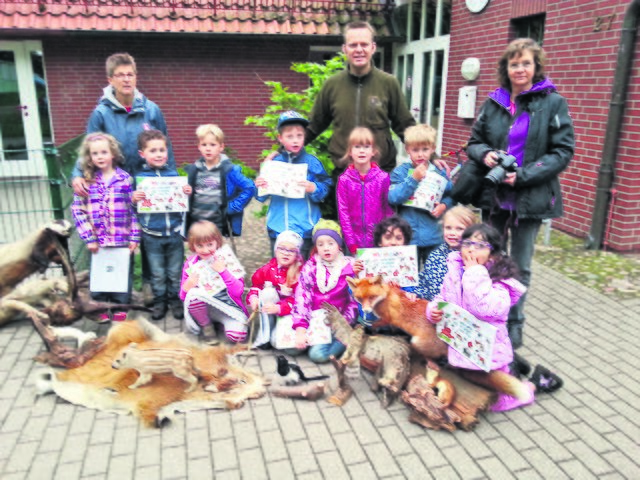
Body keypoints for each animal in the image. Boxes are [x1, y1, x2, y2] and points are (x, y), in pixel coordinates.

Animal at [348, 276, 532, 404]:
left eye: (372, 297)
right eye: (360, 298)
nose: (365, 310)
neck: (386, 297)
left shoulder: (387, 318)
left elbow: (376, 324)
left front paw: (368, 326)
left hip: (417, 342)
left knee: (429, 357)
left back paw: (431, 362)